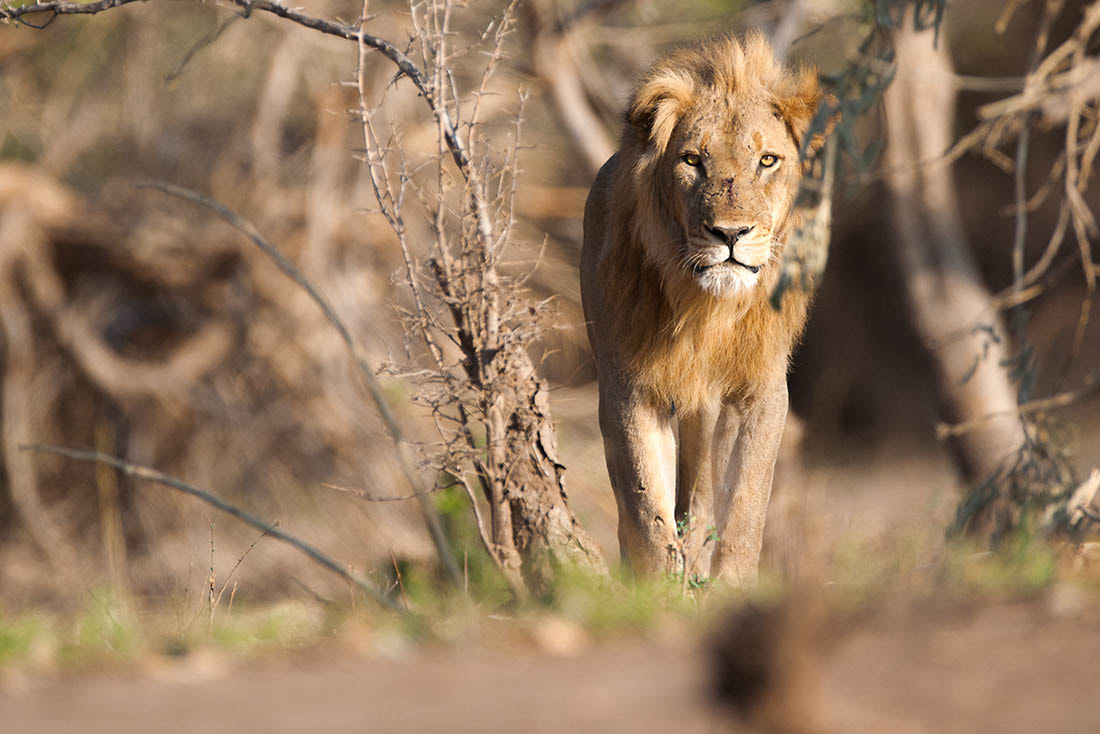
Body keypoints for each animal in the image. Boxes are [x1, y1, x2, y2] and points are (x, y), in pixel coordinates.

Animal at [585, 33, 827, 585]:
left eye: (768, 161)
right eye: (693, 160)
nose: (730, 234)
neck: (706, 310)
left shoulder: (759, 391)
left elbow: (745, 509)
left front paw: (731, 586)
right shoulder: (629, 390)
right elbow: (645, 508)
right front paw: (656, 589)